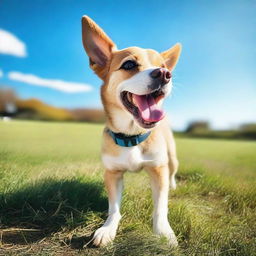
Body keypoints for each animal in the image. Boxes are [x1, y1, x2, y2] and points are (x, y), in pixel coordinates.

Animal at [81, 15, 181, 246]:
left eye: (163, 66)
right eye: (129, 64)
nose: (165, 74)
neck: (132, 136)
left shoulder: (158, 169)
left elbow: (161, 207)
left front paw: (164, 232)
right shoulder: (112, 174)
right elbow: (113, 208)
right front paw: (107, 229)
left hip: (172, 157)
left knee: (172, 172)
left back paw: (173, 185)